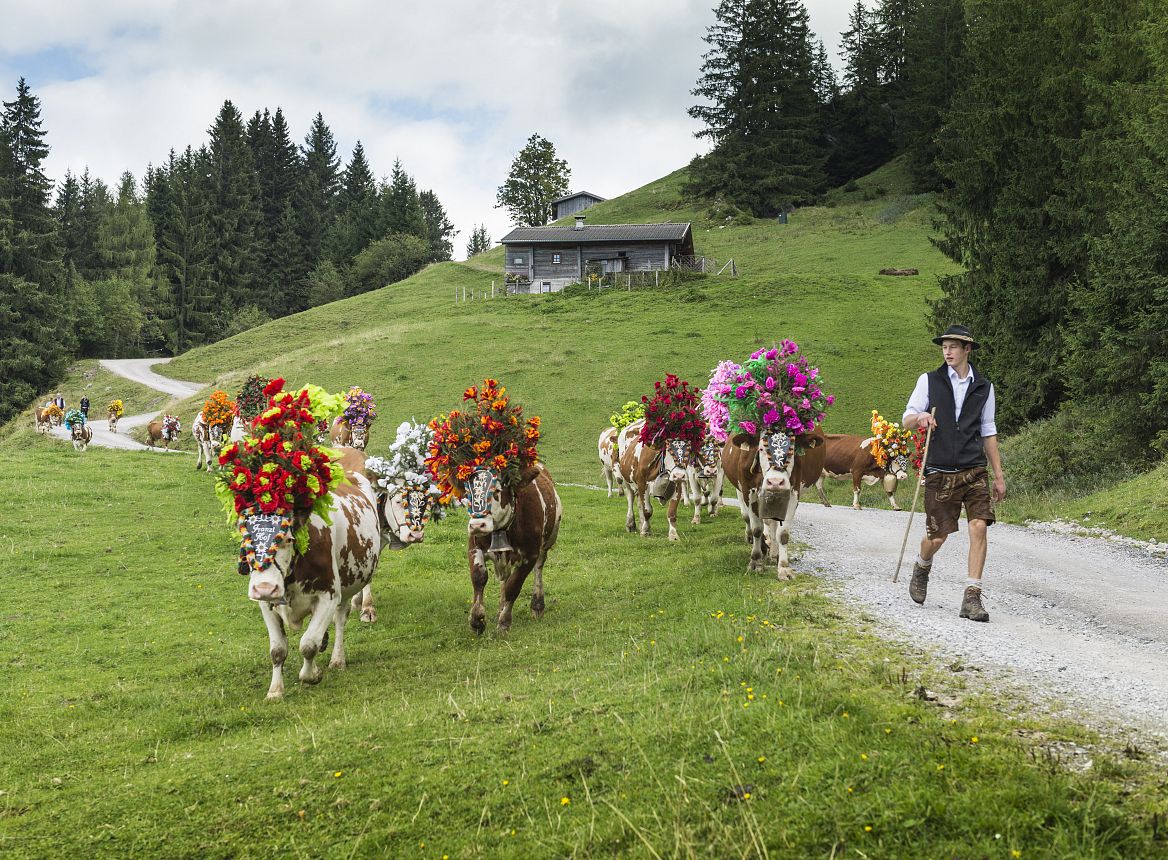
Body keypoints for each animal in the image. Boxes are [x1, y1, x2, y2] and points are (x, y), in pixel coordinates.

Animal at [246, 446, 383, 701]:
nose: (265, 588)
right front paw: (275, 690)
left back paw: (337, 658)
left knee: (340, 619)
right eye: (247, 543)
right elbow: (277, 650)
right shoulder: (266, 605)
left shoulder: (328, 595)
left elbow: (308, 644)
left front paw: (312, 674)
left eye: (288, 539)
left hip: (346, 586)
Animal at [462, 460, 558, 635]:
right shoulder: (474, 546)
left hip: (545, 545)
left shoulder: (530, 555)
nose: (477, 525)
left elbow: (513, 587)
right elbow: (479, 577)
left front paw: (504, 623)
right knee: (504, 578)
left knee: (538, 570)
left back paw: (537, 605)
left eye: (497, 490)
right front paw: (477, 620)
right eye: (468, 492)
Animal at [714, 427, 826, 581]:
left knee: (772, 523)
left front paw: (784, 568)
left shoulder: (793, 492)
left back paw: (774, 553)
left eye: (792, 448)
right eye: (761, 448)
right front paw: (756, 561)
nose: (775, 482)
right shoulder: (748, 491)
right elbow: (756, 528)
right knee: (750, 518)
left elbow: (783, 533)